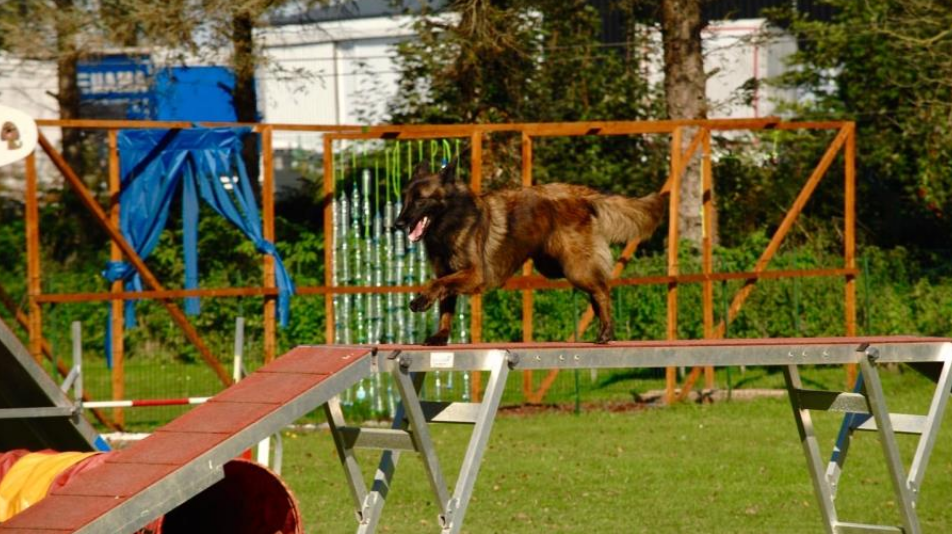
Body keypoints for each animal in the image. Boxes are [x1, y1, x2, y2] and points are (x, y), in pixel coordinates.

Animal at [392, 162, 660, 348]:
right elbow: (445, 303)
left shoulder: (473, 274)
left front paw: (420, 301)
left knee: (602, 289)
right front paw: (441, 336)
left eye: (420, 201)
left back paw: (606, 332)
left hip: (574, 267)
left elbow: (436, 285)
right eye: (405, 199)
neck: (451, 221)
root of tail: (579, 193)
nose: (397, 224)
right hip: (556, 267)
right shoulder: (449, 273)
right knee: (596, 290)